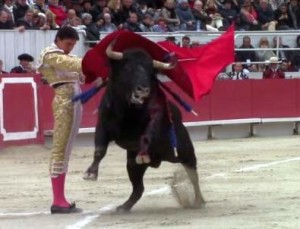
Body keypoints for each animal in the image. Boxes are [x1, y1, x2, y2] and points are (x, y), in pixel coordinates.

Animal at [82, 42, 205, 212]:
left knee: (193, 173)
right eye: (127, 68)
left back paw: (199, 200)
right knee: (138, 188)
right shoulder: (102, 125)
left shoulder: (154, 119)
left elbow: (147, 135)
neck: (128, 110)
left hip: (183, 151)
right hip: (133, 166)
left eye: (150, 71)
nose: (143, 90)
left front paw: (142, 153)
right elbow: (100, 150)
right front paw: (91, 173)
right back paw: (124, 207)